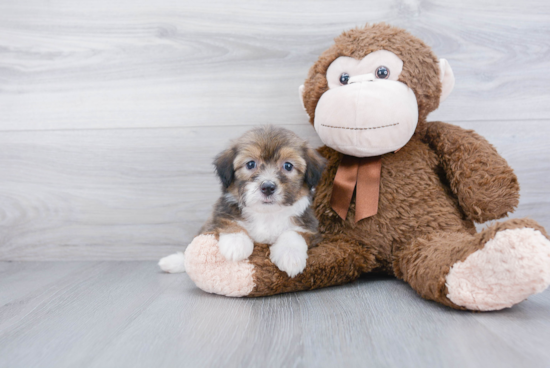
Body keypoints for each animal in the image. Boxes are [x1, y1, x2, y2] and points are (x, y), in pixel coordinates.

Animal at [162, 125, 330, 278]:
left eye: (288, 166)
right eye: (250, 164)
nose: (268, 187)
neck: (266, 215)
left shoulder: (311, 228)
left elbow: (294, 233)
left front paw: (290, 255)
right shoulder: (217, 216)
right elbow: (229, 222)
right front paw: (236, 244)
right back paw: (174, 261)